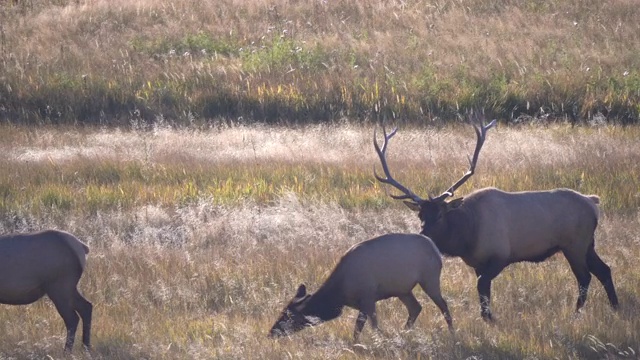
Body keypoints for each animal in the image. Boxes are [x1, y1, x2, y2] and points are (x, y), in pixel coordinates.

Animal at [268, 233, 452, 340]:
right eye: (282, 311)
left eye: (289, 316)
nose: (271, 333)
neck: (339, 294)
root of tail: (435, 249)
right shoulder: (363, 303)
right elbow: (360, 328)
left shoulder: (368, 298)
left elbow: (369, 328)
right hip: (403, 290)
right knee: (416, 308)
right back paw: (404, 332)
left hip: (429, 278)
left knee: (443, 305)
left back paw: (452, 333)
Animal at [372, 117, 616, 320]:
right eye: (421, 214)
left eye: (440, 215)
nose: (423, 235)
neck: (467, 237)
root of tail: (593, 202)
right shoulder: (477, 263)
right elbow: (483, 290)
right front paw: (486, 316)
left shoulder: (501, 255)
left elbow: (482, 286)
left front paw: (489, 318)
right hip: (588, 243)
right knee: (604, 270)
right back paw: (615, 307)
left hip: (574, 244)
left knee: (584, 277)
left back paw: (577, 313)